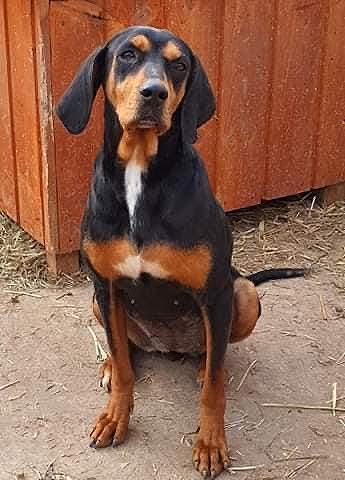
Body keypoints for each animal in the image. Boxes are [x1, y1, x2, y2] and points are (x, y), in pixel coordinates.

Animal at [55, 27, 300, 480]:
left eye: (180, 64)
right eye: (127, 55)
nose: (155, 93)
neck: (140, 170)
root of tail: (166, 346)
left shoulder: (216, 292)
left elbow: (214, 387)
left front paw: (211, 442)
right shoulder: (105, 285)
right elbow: (123, 366)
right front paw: (115, 416)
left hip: (243, 294)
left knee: (214, 353)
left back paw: (204, 363)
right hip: (96, 302)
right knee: (124, 347)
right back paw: (111, 365)